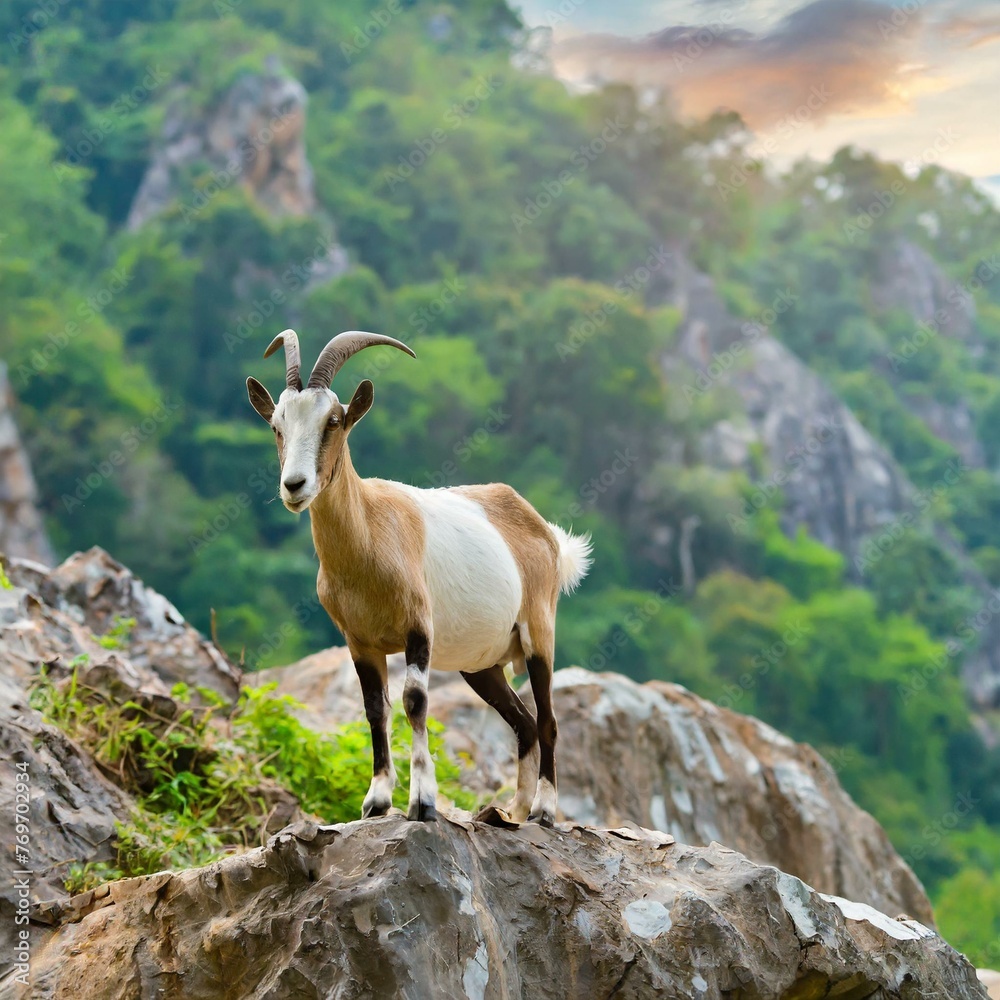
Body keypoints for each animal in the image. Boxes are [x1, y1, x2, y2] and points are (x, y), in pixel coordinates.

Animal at [249, 332, 588, 824]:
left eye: (333, 421)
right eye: (277, 425)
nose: (295, 486)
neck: (370, 534)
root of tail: (546, 533)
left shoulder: (418, 628)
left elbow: (414, 701)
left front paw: (422, 802)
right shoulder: (360, 641)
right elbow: (375, 708)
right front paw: (375, 802)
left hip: (537, 629)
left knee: (547, 718)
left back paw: (543, 810)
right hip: (481, 665)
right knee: (523, 721)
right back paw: (512, 810)